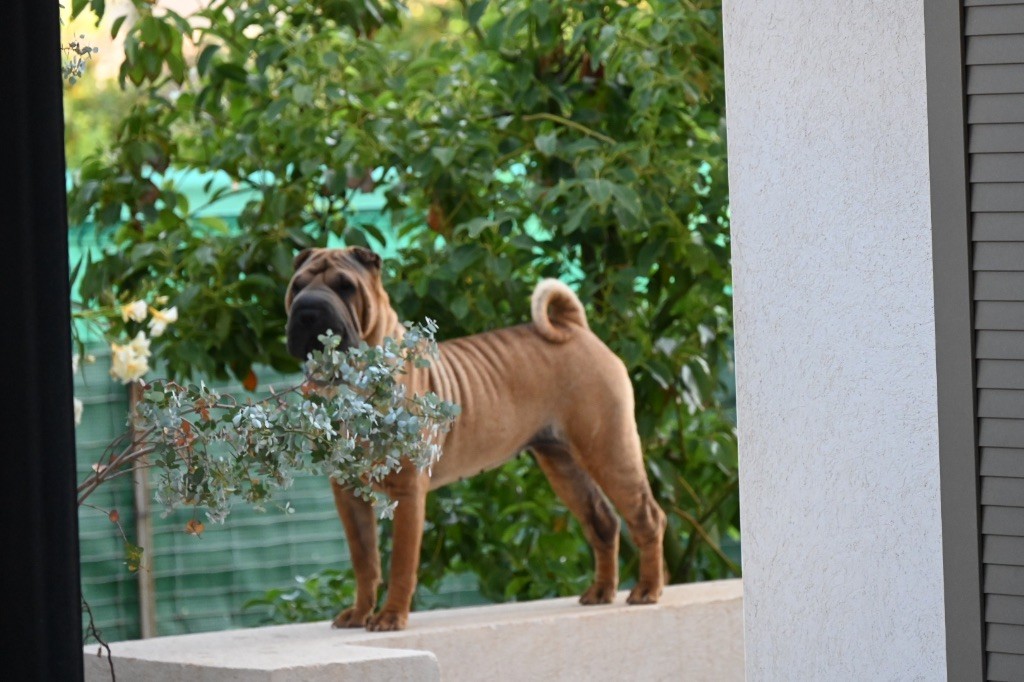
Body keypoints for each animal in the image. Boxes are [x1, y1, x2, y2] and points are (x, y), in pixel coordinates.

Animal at [284, 242, 667, 626]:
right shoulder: (348, 493)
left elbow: (401, 564)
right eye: (297, 287)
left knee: (647, 517)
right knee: (602, 521)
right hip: (562, 463)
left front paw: (390, 617)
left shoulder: (407, 490)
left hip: (608, 448)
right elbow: (365, 562)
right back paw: (601, 592)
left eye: (345, 286)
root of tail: (573, 327)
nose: (308, 310)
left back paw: (647, 590)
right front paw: (361, 613)